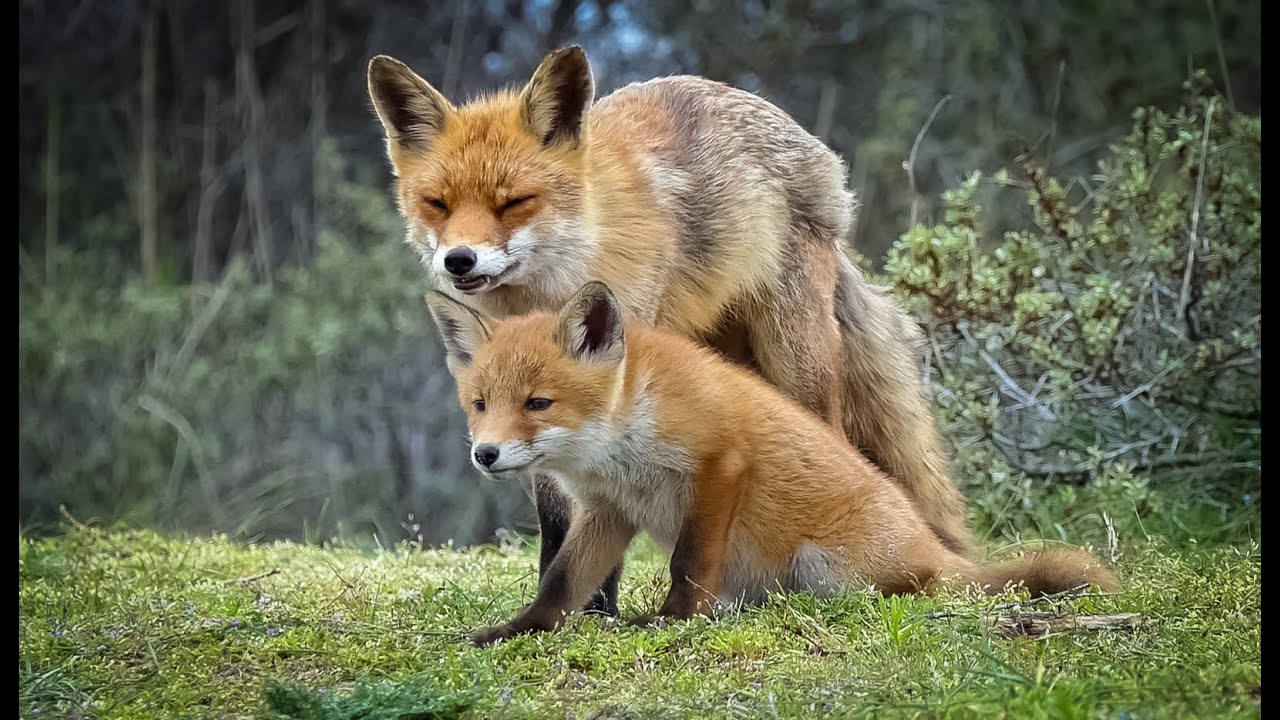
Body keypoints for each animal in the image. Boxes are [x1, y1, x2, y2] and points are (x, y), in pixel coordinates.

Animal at [368, 45, 973, 617]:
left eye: (515, 202)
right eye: (437, 204)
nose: (458, 260)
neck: (557, 284)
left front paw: (597, 610)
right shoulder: (528, 401)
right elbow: (558, 513)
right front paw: (568, 603)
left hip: (795, 359)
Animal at [426, 282, 1118, 645]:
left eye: (538, 403)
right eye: (480, 404)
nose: (485, 454)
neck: (622, 431)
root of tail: (929, 546)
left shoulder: (720, 463)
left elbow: (688, 562)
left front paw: (674, 622)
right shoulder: (609, 508)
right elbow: (562, 583)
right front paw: (517, 631)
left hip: (829, 568)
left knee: (911, 591)